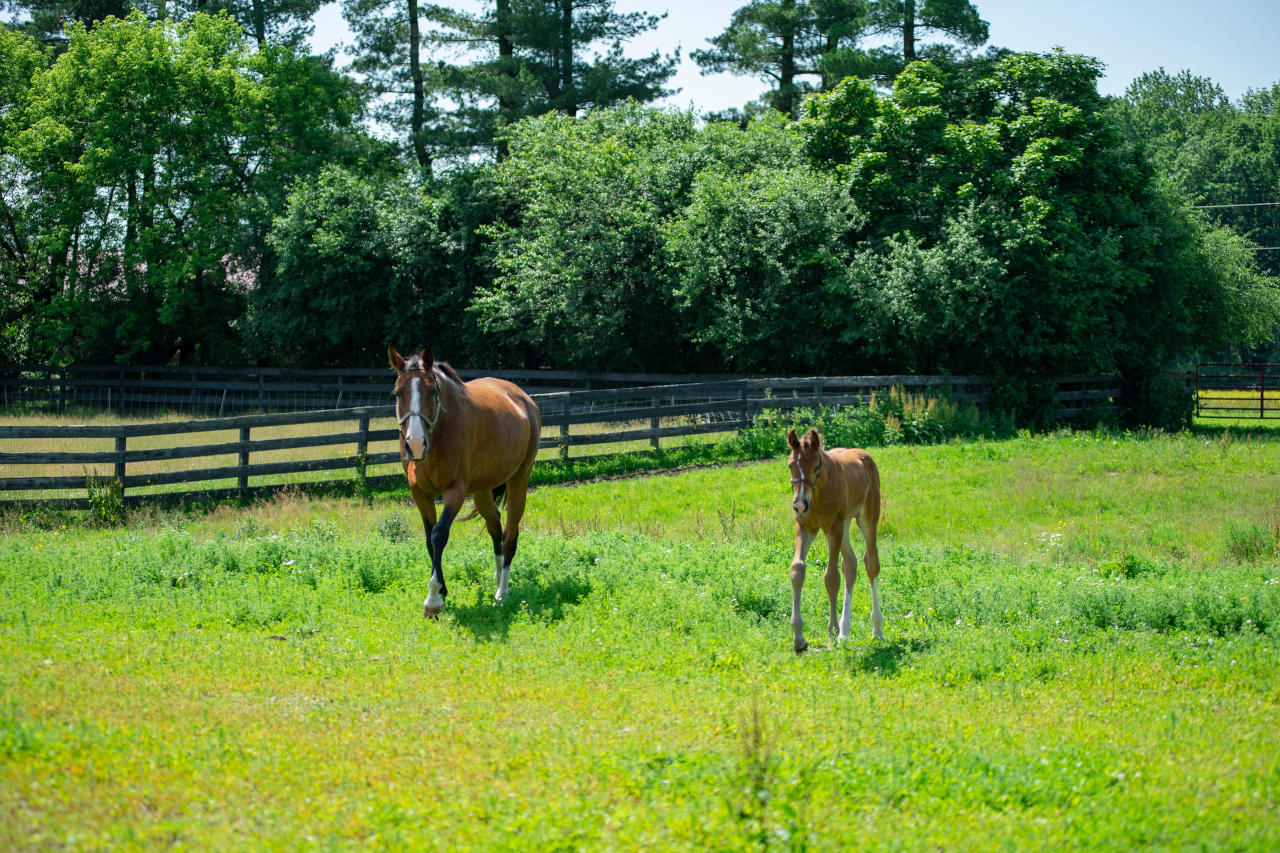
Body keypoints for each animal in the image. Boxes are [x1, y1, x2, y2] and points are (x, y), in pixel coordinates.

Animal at [389, 345, 540, 617]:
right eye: (397, 393)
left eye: (432, 391)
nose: (414, 444)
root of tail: (525, 400)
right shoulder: (420, 493)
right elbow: (429, 540)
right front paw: (442, 591)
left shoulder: (455, 491)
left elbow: (439, 535)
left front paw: (433, 599)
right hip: (481, 491)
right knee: (495, 528)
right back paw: (495, 578)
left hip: (518, 481)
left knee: (510, 536)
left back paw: (502, 592)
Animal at [783, 425, 885, 650]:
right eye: (790, 465)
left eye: (816, 467)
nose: (800, 504)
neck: (817, 494)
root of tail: (864, 454)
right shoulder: (805, 527)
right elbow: (797, 569)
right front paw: (799, 638)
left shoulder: (834, 528)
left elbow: (831, 577)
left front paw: (832, 631)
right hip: (845, 525)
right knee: (851, 564)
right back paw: (845, 631)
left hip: (866, 518)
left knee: (870, 563)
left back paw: (876, 629)